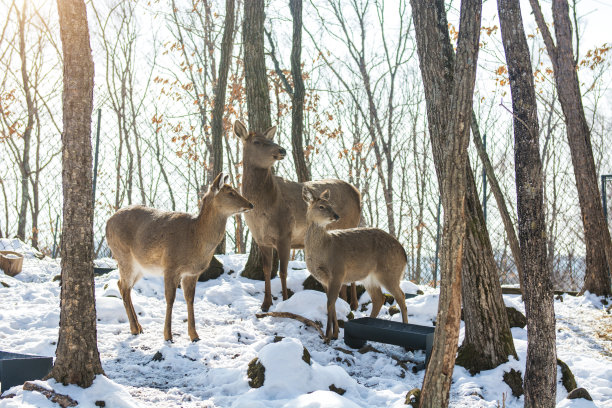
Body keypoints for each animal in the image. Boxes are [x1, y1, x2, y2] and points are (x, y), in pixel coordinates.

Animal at [106, 172, 252, 342]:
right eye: (230, 192)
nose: (250, 204)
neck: (195, 237)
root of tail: (107, 223)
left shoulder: (192, 273)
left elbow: (190, 299)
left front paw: (194, 335)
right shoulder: (170, 266)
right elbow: (170, 298)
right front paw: (168, 335)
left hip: (140, 266)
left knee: (122, 285)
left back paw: (139, 327)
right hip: (123, 255)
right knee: (123, 286)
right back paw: (134, 329)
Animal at [233, 119, 358, 310]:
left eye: (271, 139)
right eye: (257, 141)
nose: (282, 150)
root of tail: (357, 192)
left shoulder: (285, 233)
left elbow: (283, 272)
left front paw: (284, 300)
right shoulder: (261, 239)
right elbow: (266, 271)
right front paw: (265, 304)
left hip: (350, 225)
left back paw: (352, 304)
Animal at [302, 188, 406, 342]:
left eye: (331, 205)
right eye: (321, 206)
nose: (336, 216)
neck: (325, 248)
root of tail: (404, 254)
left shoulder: (338, 272)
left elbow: (330, 303)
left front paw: (327, 336)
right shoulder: (324, 280)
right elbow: (331, 303)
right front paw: (335, 333)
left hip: (389, 272)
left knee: (401, 296)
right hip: (370, 278)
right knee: (379, 299)